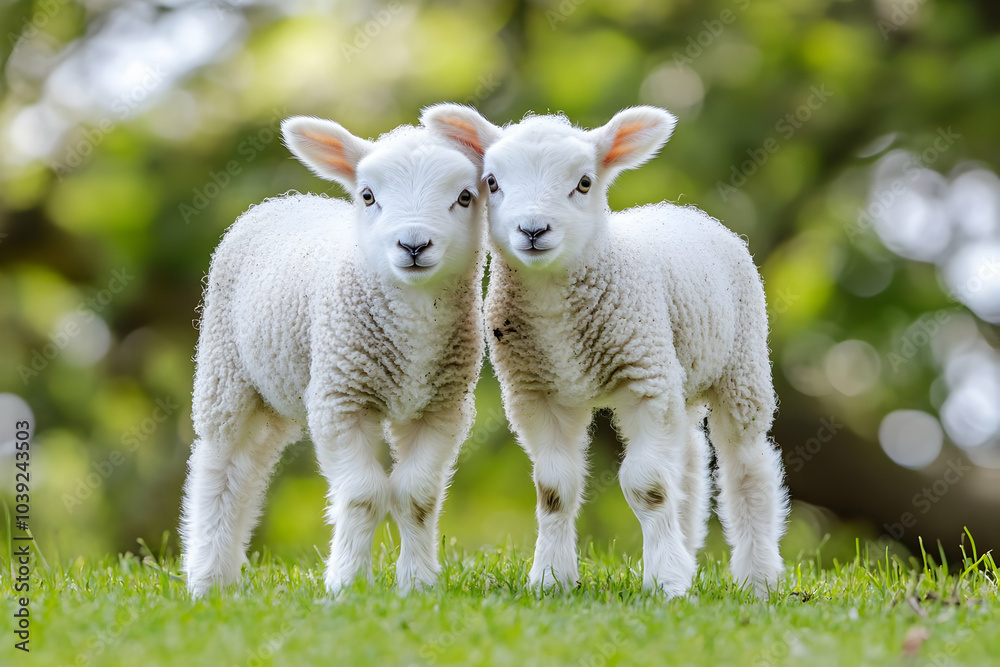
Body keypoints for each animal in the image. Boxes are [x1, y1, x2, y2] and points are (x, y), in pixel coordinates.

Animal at [180, 116, 487, 597]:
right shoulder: (340, 399)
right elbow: (363, 495)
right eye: (368, 195)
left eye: (465, 196)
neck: (415, 322)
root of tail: (286, 200)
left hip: (279, 386)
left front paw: (417, 585)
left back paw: (226, 576)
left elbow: (417, 496)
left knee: (250, 469)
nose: (413, 245)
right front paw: (348, 584)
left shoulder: (443, 406)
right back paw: (207, 579)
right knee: (219, 467)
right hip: (227, 371)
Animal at [422, 104, 788, 598]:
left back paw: (758, 578)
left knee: (746, 464)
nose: (533, 230)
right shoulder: (537, 391)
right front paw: (551, 578)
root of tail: (681, 209)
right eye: (492, 182)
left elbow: (648, 487)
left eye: (584, 183)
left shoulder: (644, 383)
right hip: (678, 371)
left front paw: (665, 583)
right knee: (689, 459)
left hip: (739, 364)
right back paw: (688, 551)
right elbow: (554, 488)